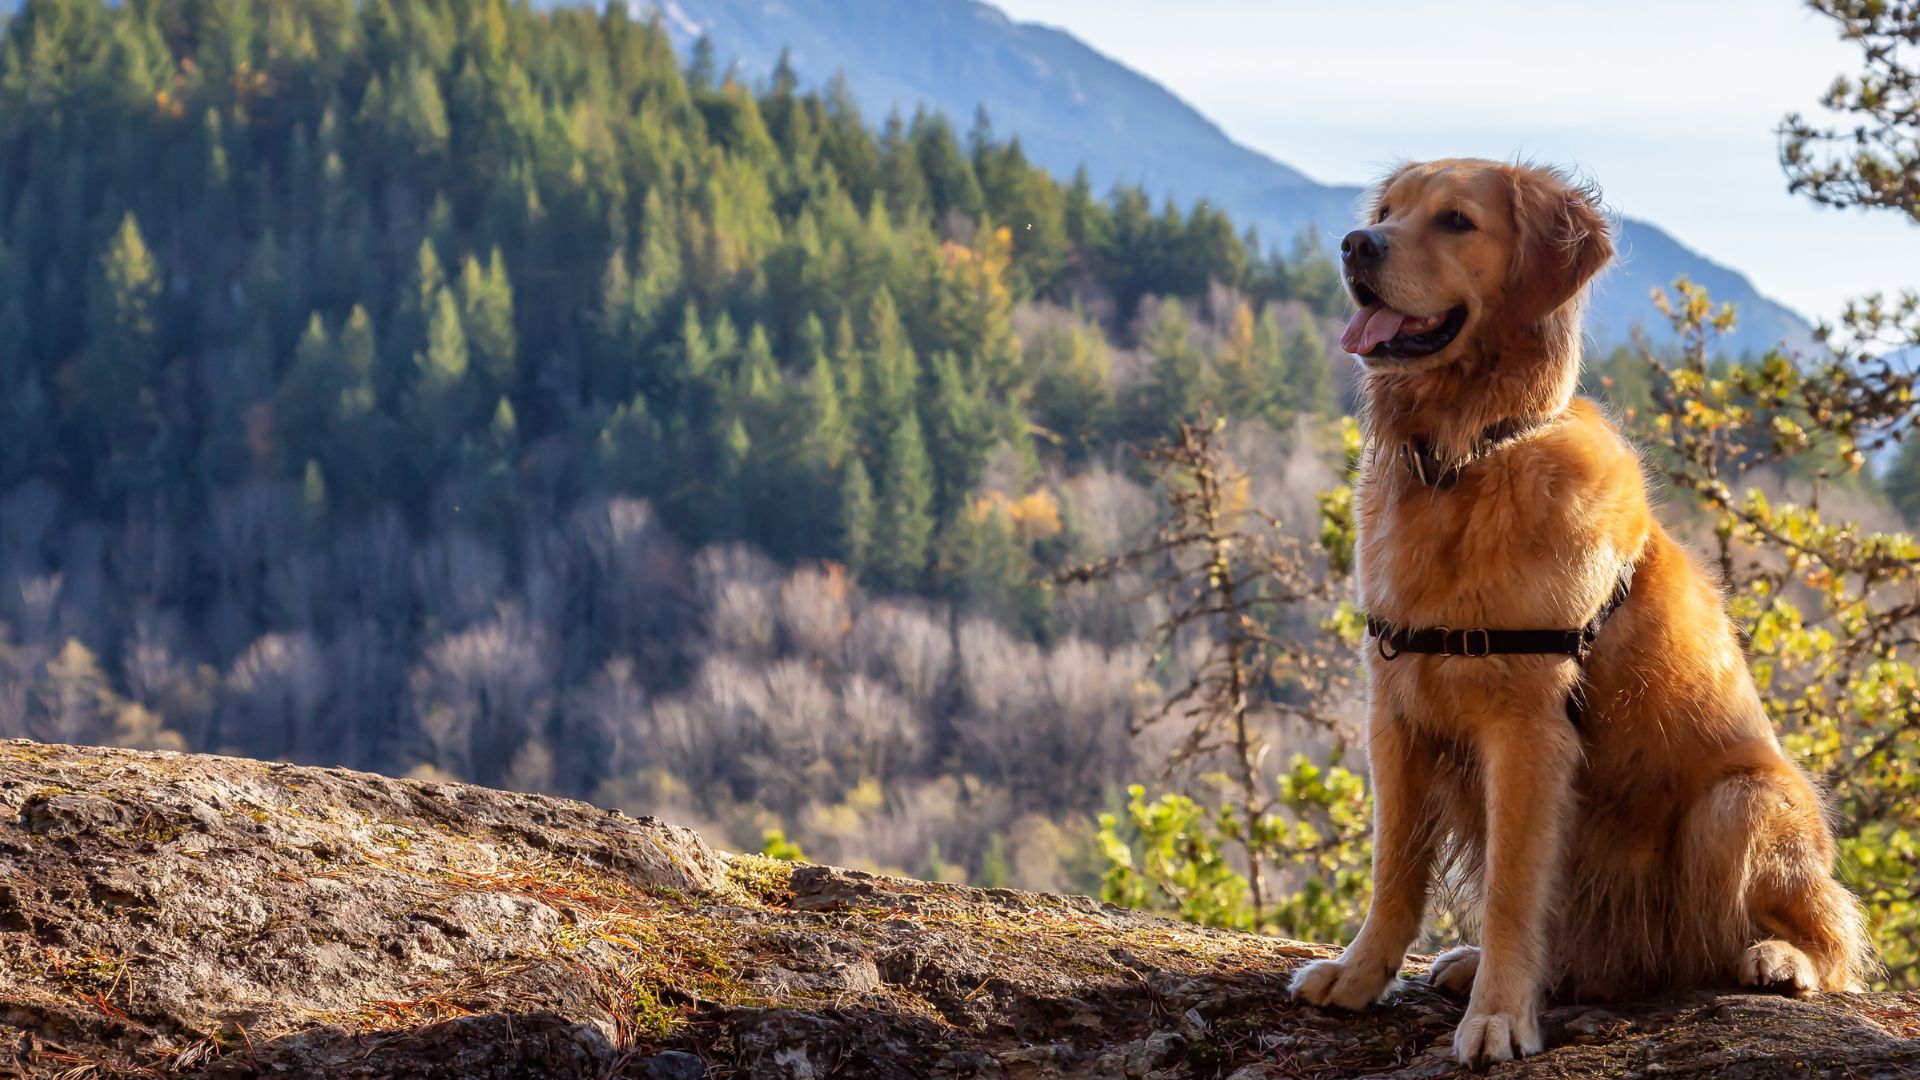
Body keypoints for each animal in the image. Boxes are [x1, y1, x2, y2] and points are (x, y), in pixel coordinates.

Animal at [1282, 157, 1866, 1060]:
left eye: (1455, 220)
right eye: (1386, 212)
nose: (1355, 244)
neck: (1469, 457)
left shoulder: (1527, 728)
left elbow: (1514, 891)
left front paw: (1498, 1016)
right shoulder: (1397, 712)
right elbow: (1394, 872)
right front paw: (1359, 975)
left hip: (1738, 803)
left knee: (1827, 935)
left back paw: (1781, 960)